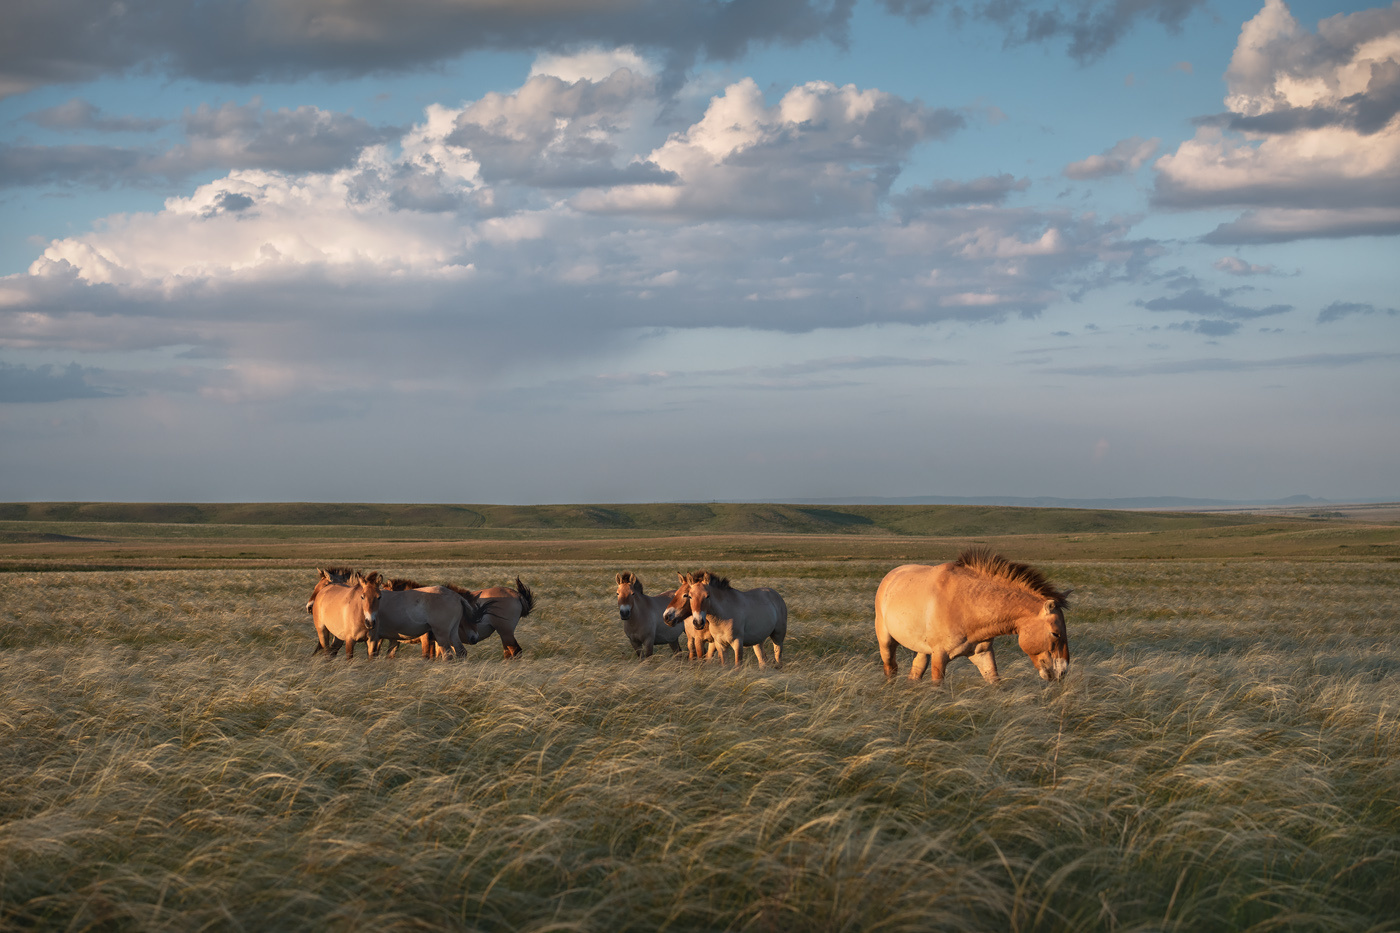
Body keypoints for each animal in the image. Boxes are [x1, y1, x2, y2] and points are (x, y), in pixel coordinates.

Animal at [874, 547, 1070, 684]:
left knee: (915, 672)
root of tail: (891, 575)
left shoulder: (982, 654)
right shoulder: (939, 657)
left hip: (921, 650)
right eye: (1055, 633)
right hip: (886, 642)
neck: (966, 606)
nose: (1062, 672)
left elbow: (995, 683)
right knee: (891, 669)